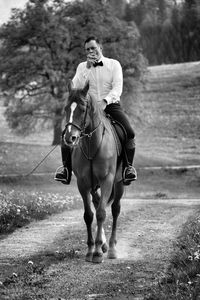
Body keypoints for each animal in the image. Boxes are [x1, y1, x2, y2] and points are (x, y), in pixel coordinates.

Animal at [63, 81, 124, 264]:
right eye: (66, 108)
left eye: (82, 109)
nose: (69, 138)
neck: (92, 144)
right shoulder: (83, 183)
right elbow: (89, 215)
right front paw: (91, 249)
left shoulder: (107, 180)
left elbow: (102, 213)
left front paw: (97, 253)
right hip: (93, 186)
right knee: (97, 204)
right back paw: (103, 244)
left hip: (118, 184)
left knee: (115, 209)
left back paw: (111, 248)